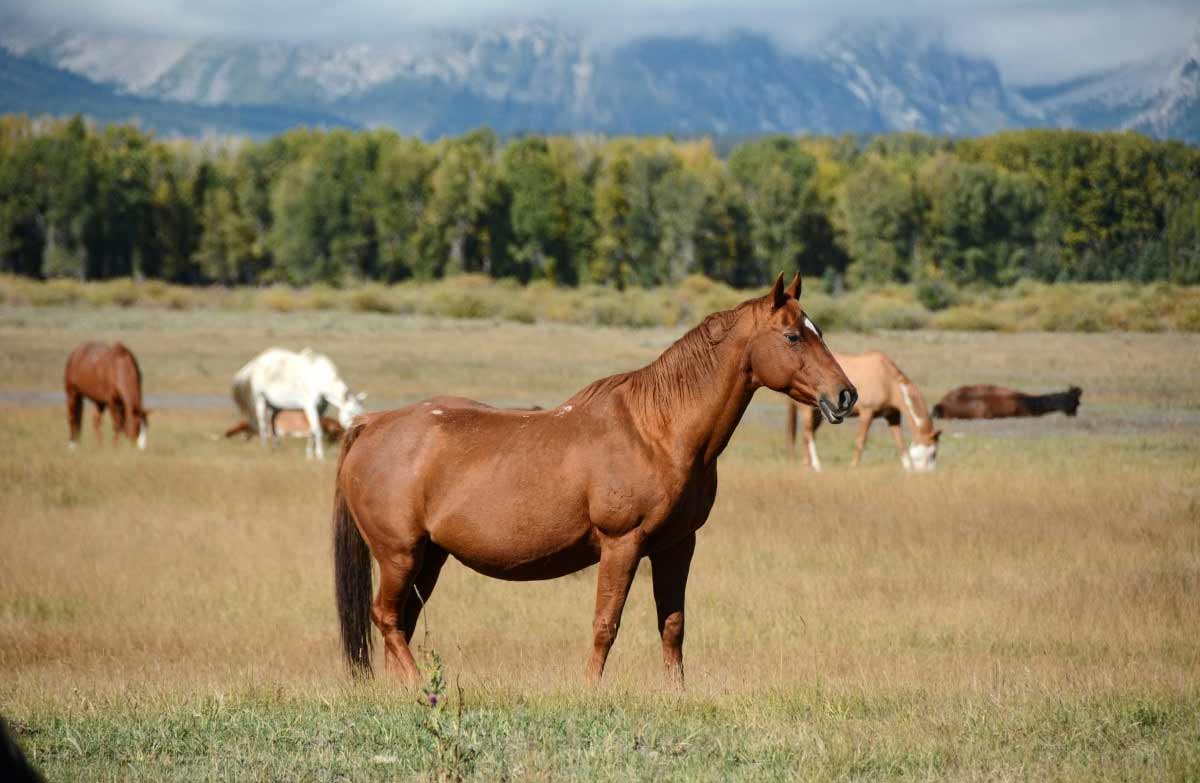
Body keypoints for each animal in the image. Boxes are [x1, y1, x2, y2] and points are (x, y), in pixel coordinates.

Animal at [231, 348, 365, 460]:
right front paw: (320, 455)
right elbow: (317, 430)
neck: (319, 379)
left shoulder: (320, 409)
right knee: (262, 423)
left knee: (272, 422)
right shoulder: (310, 407)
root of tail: (255, 363)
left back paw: (276, 446)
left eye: (361, 412)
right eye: (351, 413)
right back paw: (264, 447)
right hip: (260, 399)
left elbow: (312, 429)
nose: (358, 432)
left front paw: (309, 454)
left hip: (275, 406)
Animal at [331, 273, 857, 686]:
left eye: (818, 331)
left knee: (402, 621)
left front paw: (677, 693)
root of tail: (371, 424)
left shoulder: (677, 545)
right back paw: (420, 687)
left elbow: (673, 625)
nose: (846, 396)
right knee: (387, 618)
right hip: (399, 554)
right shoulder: (621, 544)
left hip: (429, 557)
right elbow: (606, 623)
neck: (656, 430)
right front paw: (590, 689)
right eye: (793, 336)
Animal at [787, 351, 941, 472]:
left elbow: (900, 442)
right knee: (808, 434)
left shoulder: (893, 416)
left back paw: (808, 465)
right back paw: (815, 465)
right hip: (808, 411)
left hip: (819, 414)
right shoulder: (867, 413)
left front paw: (907, 469)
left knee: (808, 434)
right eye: (932, 453)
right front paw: (854, 466)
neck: (887, 380)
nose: (926, 473)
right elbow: (861, 441)